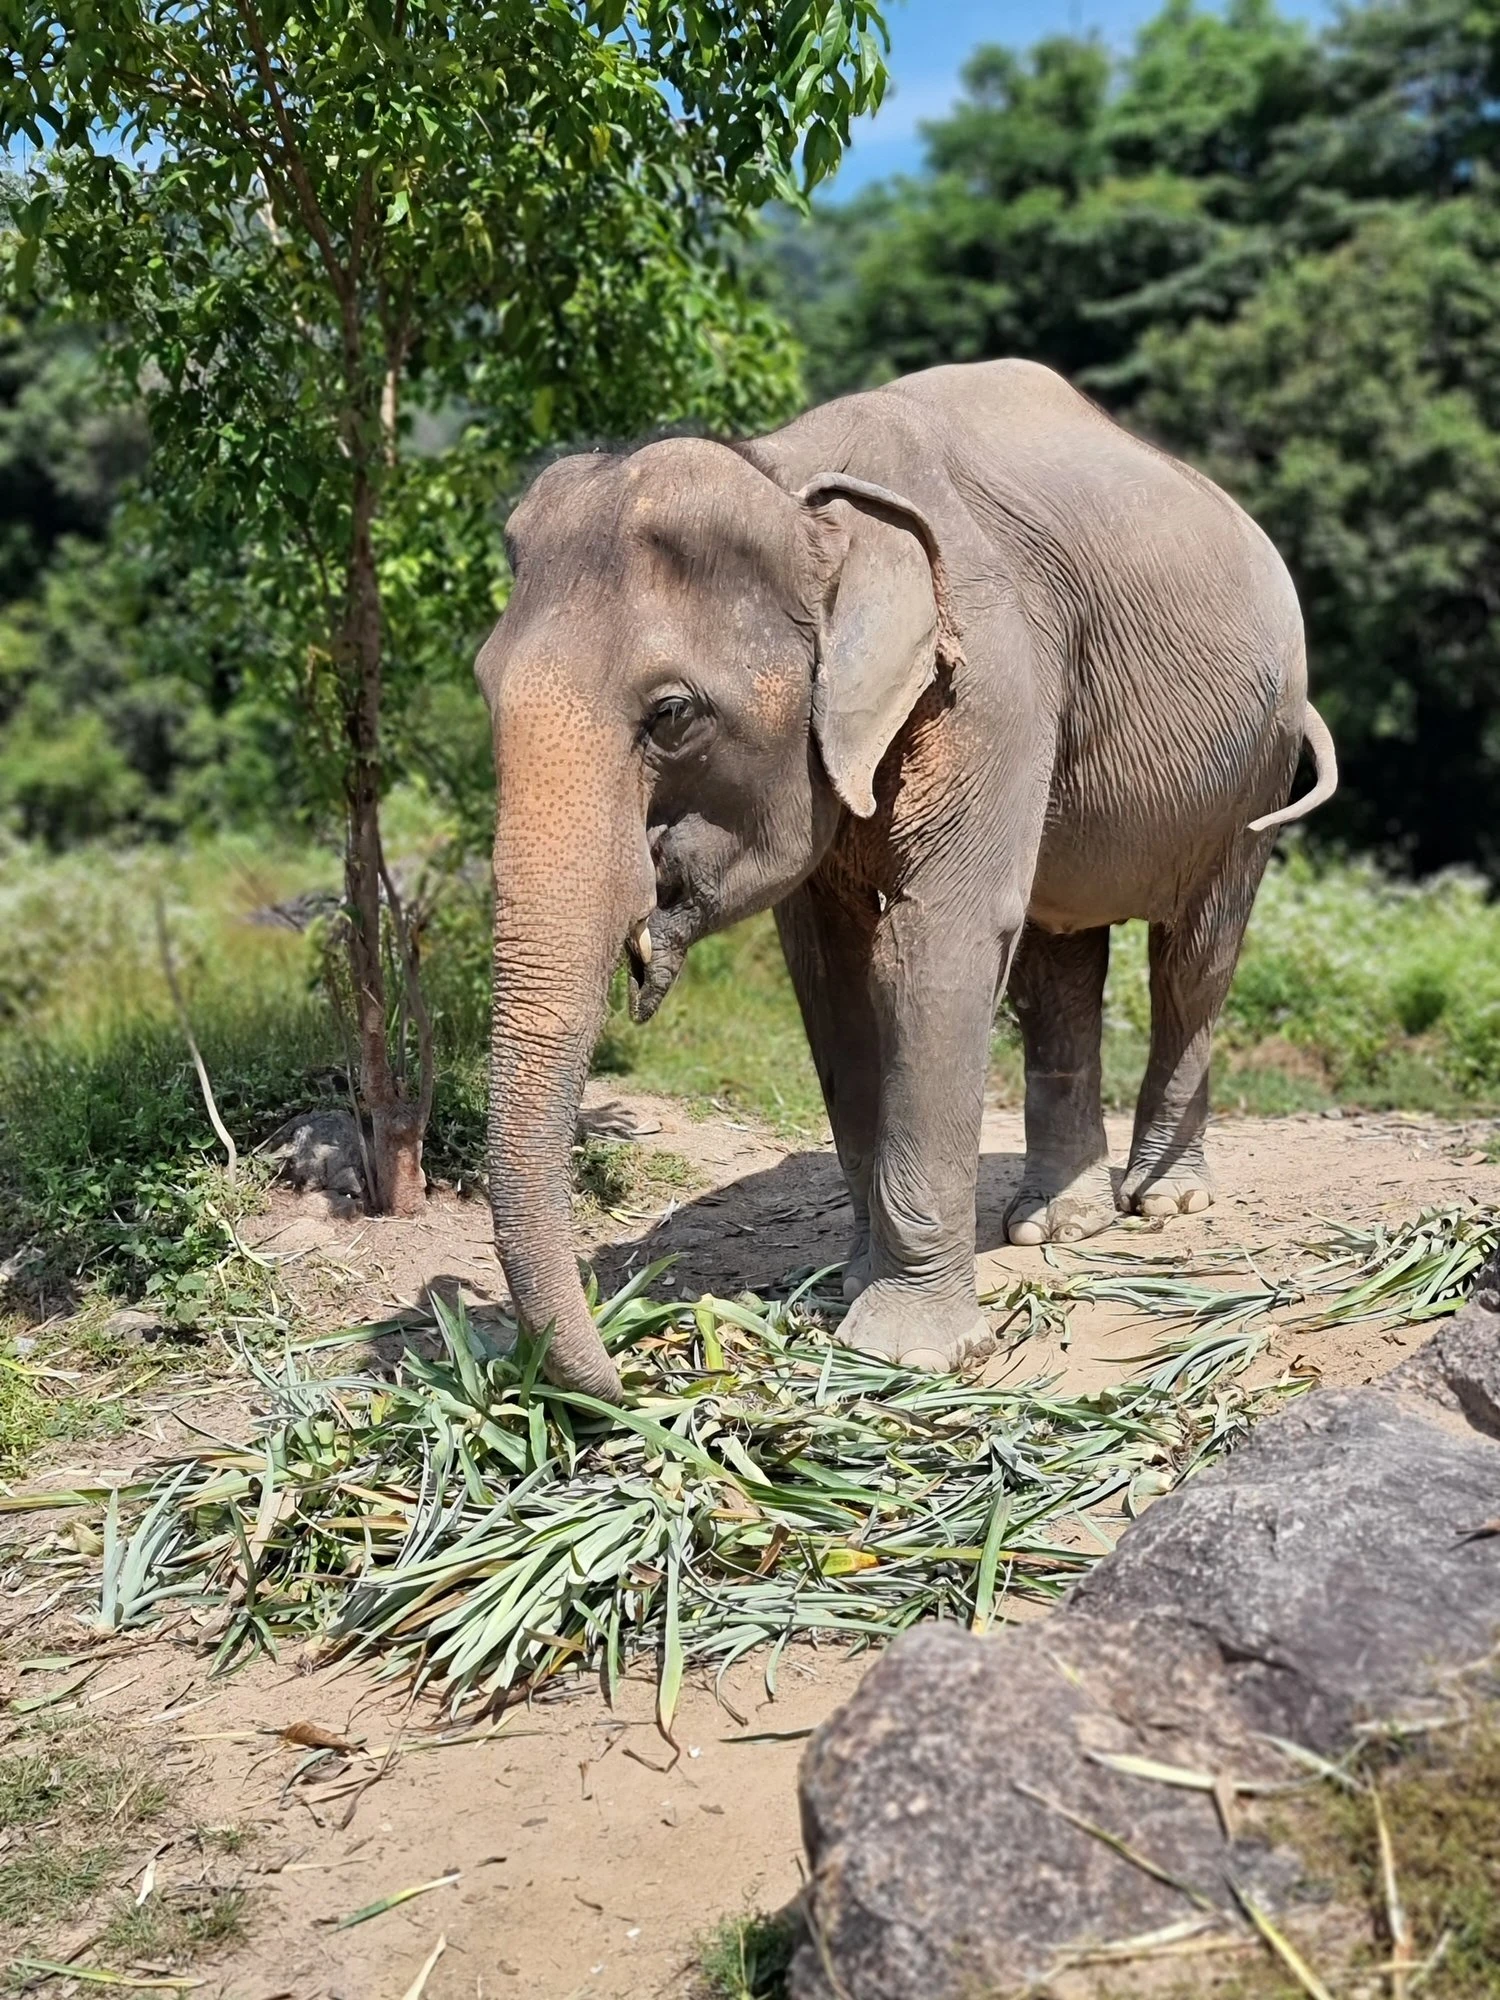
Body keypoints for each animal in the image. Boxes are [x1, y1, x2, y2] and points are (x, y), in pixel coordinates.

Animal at [476, 358, 1336, 1401]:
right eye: (482, 686)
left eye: (672, 714)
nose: (633, 1377)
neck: (789, 479)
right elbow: (832, 975)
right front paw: (849, 1286)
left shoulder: (991, 672)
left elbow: (931, 949)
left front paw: (906, 1352)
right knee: (1060, 966)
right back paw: (1054, 1224)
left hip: (1257, 762)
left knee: (1194, 962)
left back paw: (1163, 1205)